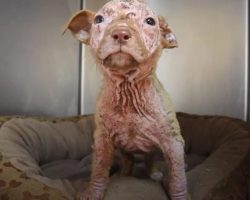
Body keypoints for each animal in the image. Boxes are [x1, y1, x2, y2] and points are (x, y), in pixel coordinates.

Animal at [64, 0, 188, 199]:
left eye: (150, 21)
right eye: (98, 19)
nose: (121, 32)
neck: (128, 92)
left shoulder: (174, 142)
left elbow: (178, 179)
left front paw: (180, 194)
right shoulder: (102, 140)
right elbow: (99, 170)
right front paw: (93, 193)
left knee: (150, 158)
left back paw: (154, 173)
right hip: (124, 150)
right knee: (129, 160)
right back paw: (124, 174)